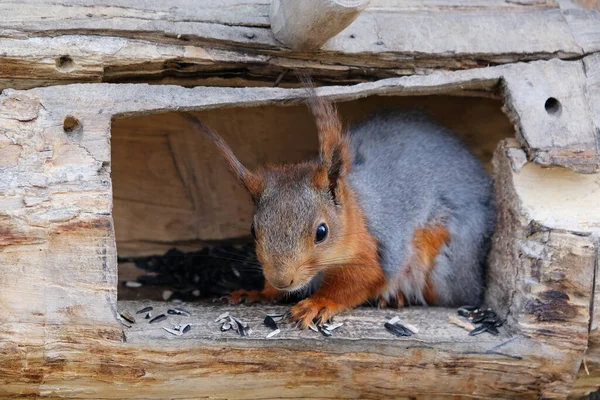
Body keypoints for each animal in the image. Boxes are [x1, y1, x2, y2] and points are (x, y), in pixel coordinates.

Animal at [182, 83, 492, 328]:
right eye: (253, 231)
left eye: (322, 232)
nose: (282, 280)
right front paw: (257, 292)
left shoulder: (374, 252)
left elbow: (358, 283)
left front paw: (317, 303)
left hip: (445, 262)